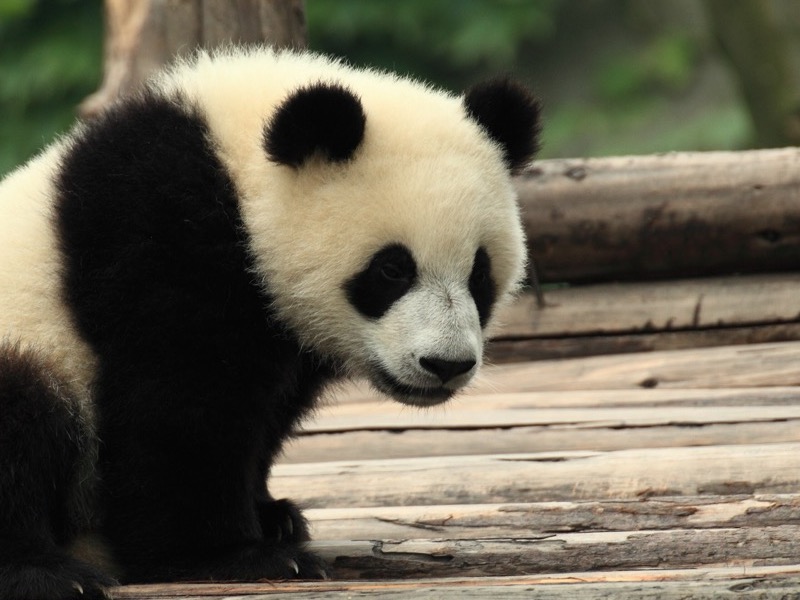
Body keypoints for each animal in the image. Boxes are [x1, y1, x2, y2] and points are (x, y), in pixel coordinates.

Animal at [0, 47, 540, 598]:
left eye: (479, 273)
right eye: (392, 269)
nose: (446, 364)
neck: (237, 173)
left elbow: (264, 412)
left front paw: (272, 515)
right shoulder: (155, 238)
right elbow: (179, 406)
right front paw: (234, 554)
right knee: (24, 417)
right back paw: (46, 570)